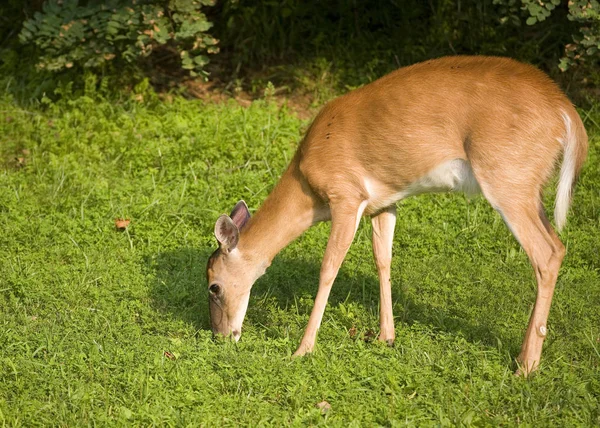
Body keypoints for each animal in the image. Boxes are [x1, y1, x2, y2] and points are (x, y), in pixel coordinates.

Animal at [205, 56, 584, 374]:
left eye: (214, 286)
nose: (220, 336)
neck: (308, 183)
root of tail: (567, 113)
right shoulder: (383, 202)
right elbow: (382, 259)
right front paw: (386, 336)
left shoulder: (346, 194)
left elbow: (329, 267)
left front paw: (303, 349)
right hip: (528, 187)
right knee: (557, 246)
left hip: (508, 177)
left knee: (547, 252)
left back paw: (527, 366)